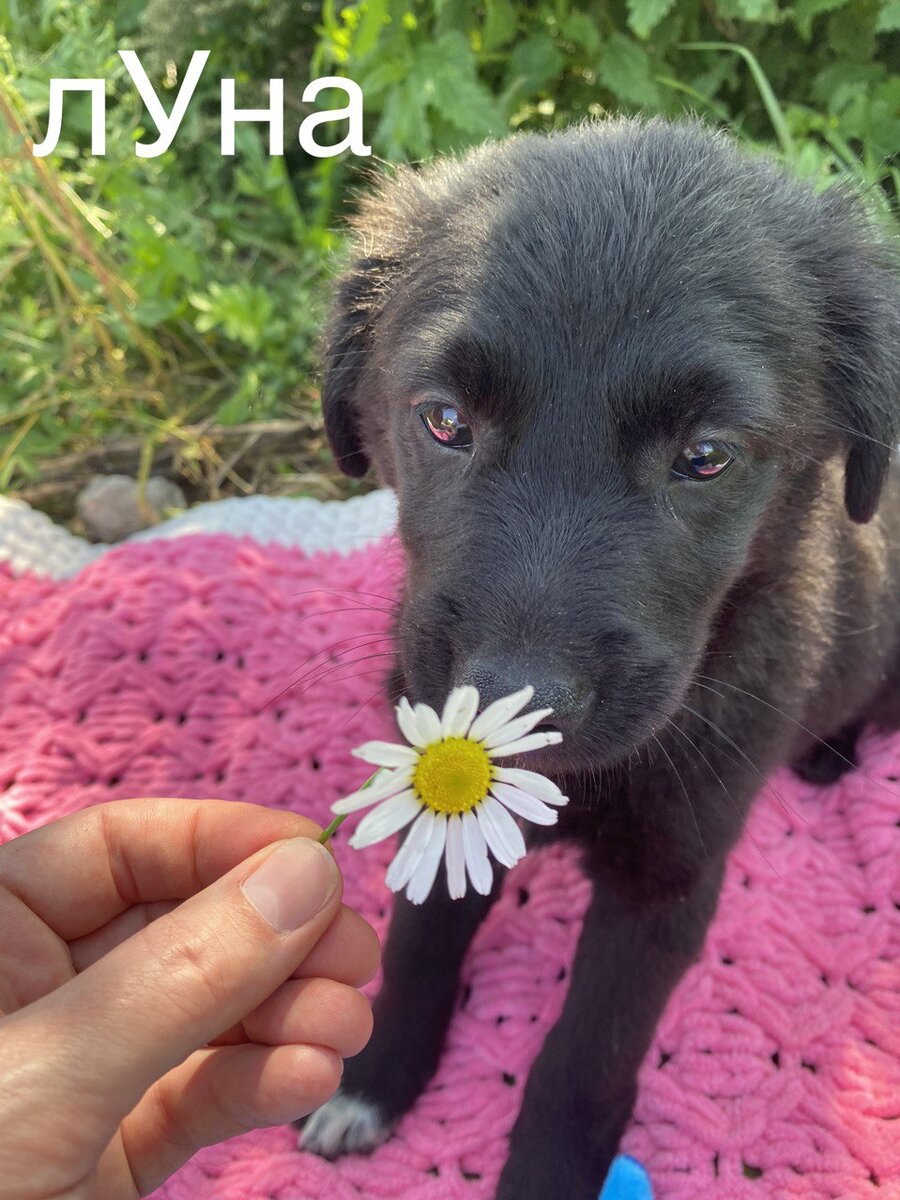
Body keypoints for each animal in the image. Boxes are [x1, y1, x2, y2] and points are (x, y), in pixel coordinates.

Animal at [300, 119, 897, 1200]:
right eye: (443, 420)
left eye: (706, 456)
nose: (511, 701)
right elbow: (416, 947)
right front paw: (373, 1076)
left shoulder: (668, 882)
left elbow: (589, 1051)